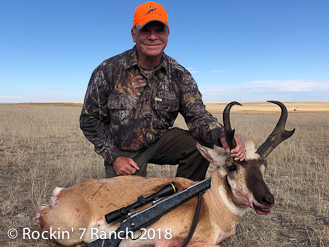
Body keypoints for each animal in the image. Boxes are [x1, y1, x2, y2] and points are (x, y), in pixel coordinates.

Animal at [36, 101, 294, 246]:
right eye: (232, 167)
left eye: (264, 166)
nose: (266, 200)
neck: (210, 203)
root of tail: (62, 194)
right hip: (71, 233)